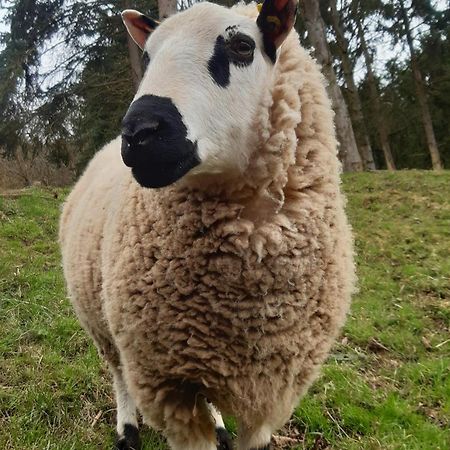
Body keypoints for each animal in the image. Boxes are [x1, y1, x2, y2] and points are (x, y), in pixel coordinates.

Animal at [59, 1, 356, 448]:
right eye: (148, 57)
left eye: (242, 46)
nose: (139, 133)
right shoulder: (166, 385)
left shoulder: (273, 389)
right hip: (99, 318)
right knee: (117, 372)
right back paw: (127, 428)